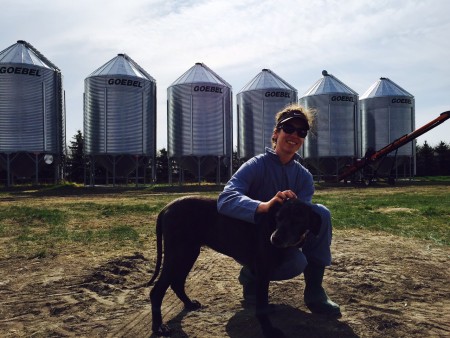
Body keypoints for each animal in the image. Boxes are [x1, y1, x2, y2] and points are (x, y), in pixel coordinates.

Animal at [149, 197, 322, 336]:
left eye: (297, 221)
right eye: (278, 218)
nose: (275, 239)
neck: (271, 225)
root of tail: (166, 207)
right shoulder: (263, 270)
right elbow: (261, 305)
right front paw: (268, 329)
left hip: (188, 253)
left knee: (177, 282)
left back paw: (189, 303)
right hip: (179, 253)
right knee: (156, 290)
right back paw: (158, 327)